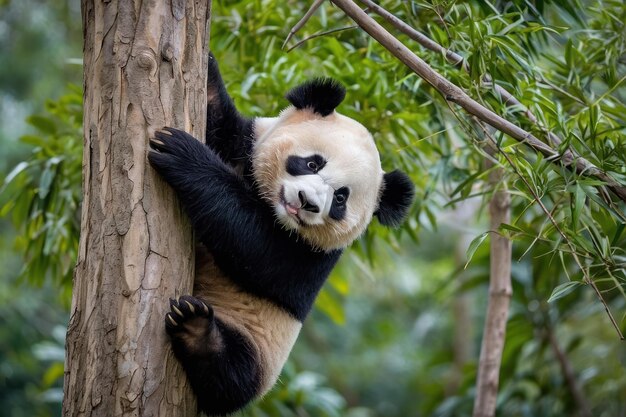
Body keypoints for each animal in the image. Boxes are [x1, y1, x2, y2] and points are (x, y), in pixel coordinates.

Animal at [147, 53, 414, 414]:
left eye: (340, 198)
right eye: (313, 163)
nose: (307, 202)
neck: (269, 204)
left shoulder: (317, 256)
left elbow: (258, 252)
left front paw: (183, 155)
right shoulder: (243, 144)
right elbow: (216, 116)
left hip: (258, 347)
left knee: (230, 376)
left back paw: (197, 331)